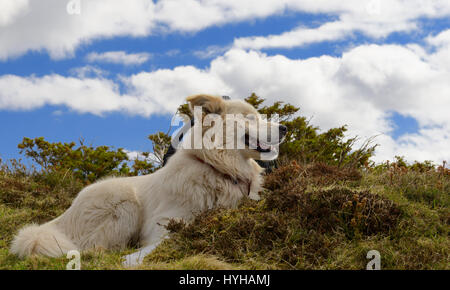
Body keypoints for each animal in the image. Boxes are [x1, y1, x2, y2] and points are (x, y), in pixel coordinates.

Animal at [10, 94, 286, 266]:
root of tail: (58, 221)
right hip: (124, 202)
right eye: (250, 118)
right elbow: (171, 237)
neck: (219, 169)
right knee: (94, 247)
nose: (284, 129)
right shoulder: (164, 223)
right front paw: (132, 259)